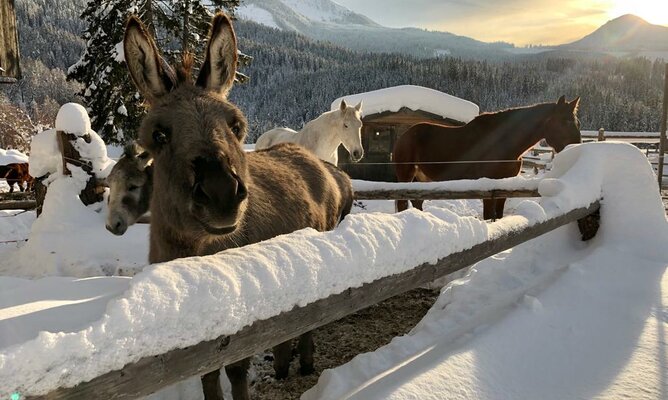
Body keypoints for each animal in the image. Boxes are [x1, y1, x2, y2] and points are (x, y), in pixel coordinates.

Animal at [125, 13, 354, 400]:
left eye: (236, 126)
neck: (191, 250)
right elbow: (207, 375)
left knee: (309, 319)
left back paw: (303, 362)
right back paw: (284, 362)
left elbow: (235, 370)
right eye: (158, 134)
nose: (221, 193)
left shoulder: (239, 320)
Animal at [394, 97, 580, 220]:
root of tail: (404, 135)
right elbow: (489, 216)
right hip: (406, 175)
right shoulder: (487, 187)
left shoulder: (504, 186)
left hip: (421, 178)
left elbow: (498, 216)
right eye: (565, 121)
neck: (504, 142)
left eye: (576, 122)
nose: (577, 148)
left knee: (417, 202)